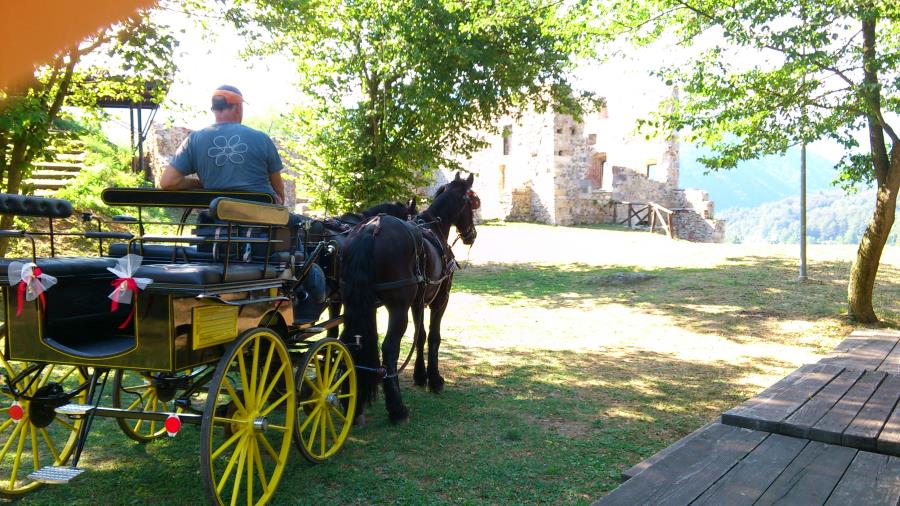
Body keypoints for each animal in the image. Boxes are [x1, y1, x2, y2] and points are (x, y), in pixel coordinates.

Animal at [340, 174, 478, 422]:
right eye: (470, 204)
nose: (472, 234)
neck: (434, 228)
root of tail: (371, 229)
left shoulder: (417, 304)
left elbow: (419, 336)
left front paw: (420, 375)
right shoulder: (440, 300)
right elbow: (433, 337)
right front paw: (434, 379)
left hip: (358, 305)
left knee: (353, 342)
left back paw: (354, 405)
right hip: (397, 308)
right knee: (389, 349)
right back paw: (397, 408)